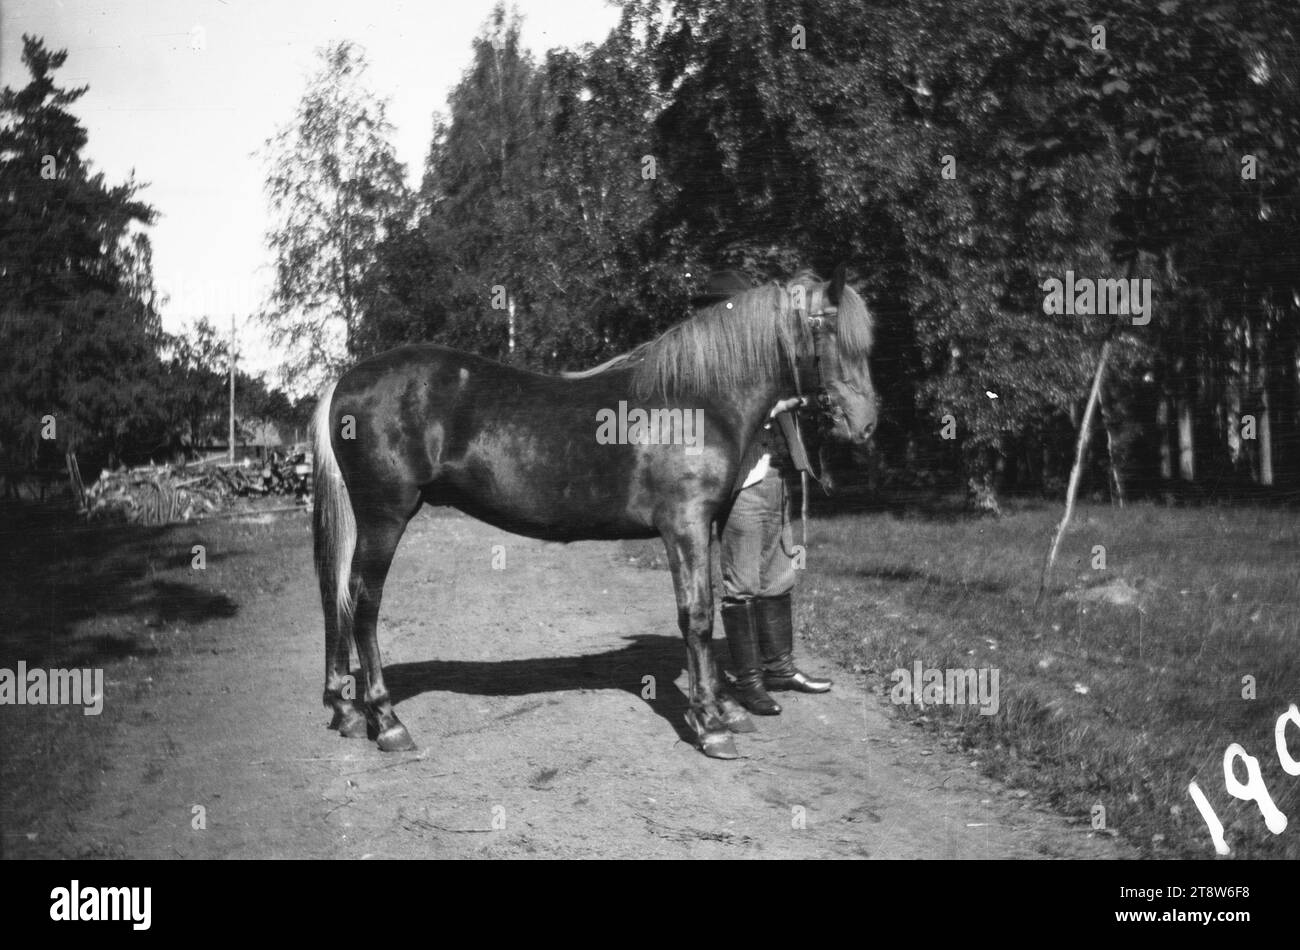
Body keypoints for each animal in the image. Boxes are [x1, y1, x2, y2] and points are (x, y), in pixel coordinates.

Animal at [310, 265, 878, 758]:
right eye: (832, 334)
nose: (866, 423)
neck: (698, 399)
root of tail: (344, 382)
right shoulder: (685, 526)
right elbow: (695, 615)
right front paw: (710, 724)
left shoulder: (709, 525)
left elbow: (711, 610)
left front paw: (722, 708)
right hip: (385, 519)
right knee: (362, 602)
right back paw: (386, 720)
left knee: (337, 597)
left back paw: (344, 710)